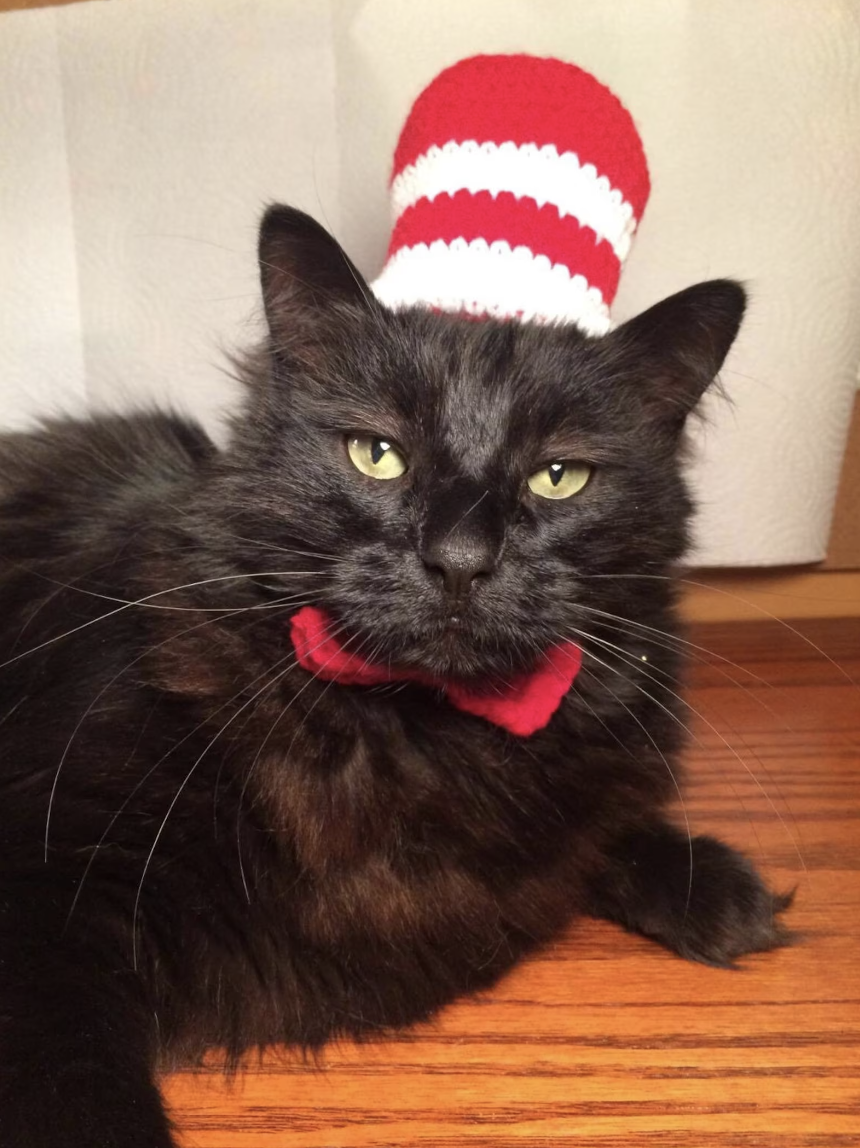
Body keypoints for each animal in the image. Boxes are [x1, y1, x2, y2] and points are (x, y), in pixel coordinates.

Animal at [0, 208, 789, 1148]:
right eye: (377, 455)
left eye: (559, 477)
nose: (459, 560)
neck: (420, 739)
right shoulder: (46, 897)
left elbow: (600, 831)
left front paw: (714, 886)